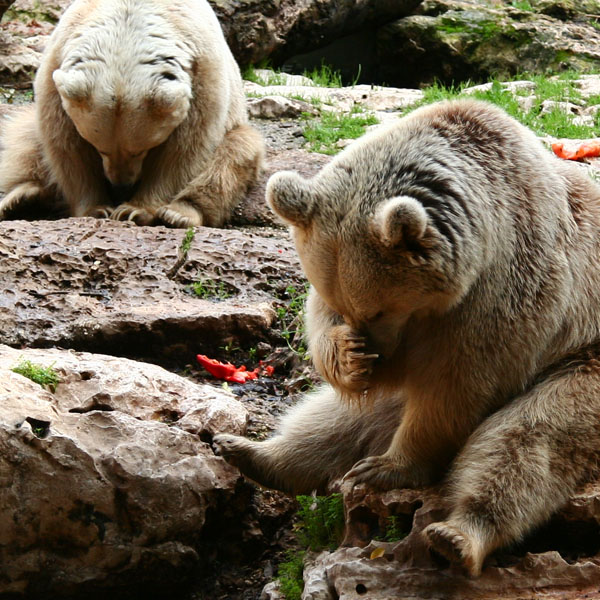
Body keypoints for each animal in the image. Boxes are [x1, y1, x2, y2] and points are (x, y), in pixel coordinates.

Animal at [214, 99, 600, 576]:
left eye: (378, 307)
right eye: (340, 302)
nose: (377, 357)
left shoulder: (506, 286)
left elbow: (461, 384)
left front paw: (392, 466)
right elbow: (322, 335)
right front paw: (348, 359)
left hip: (581, 366)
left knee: (528, 440)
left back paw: (454, 533)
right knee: (335, 421)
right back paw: (250, 452)